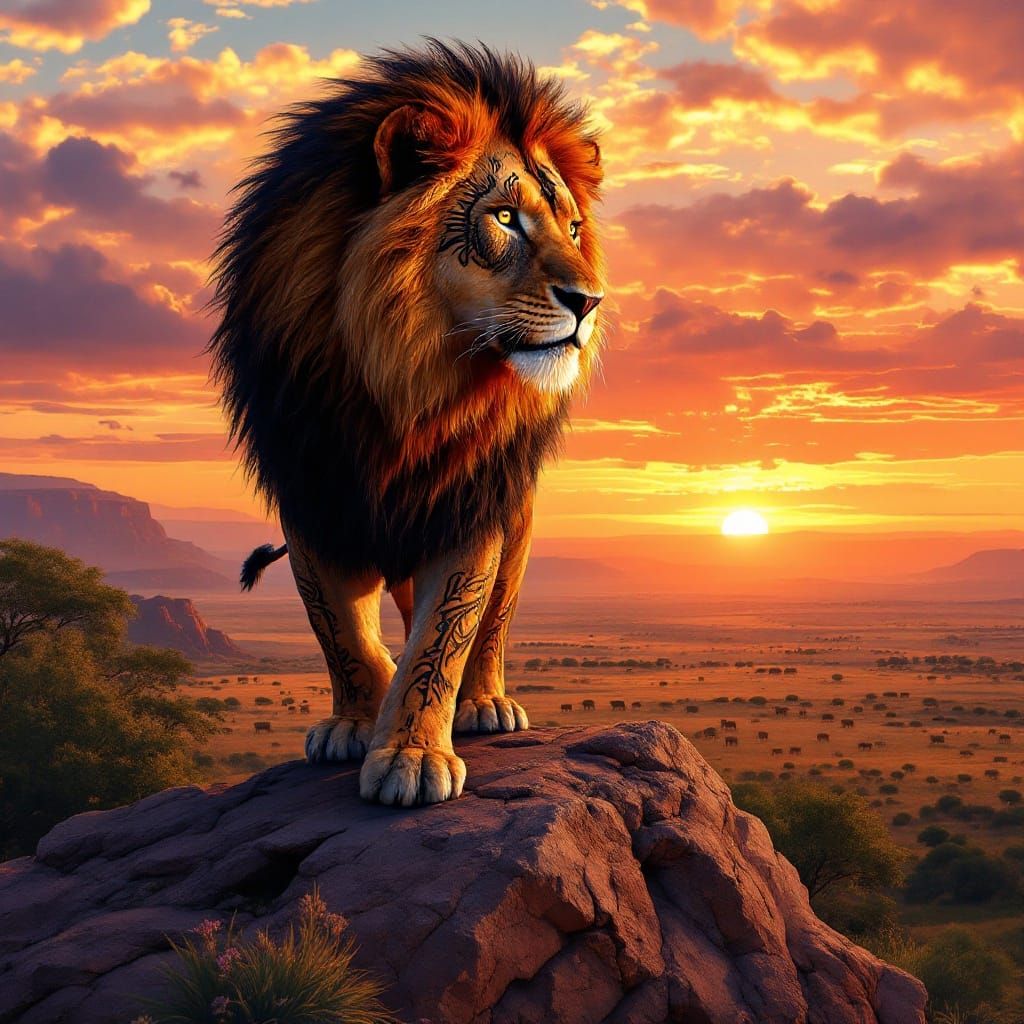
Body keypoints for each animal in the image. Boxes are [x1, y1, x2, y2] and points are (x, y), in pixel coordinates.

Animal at [209, 41, 605, 807]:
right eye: (505, 218)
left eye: (574, 228)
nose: (590, 300)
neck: (405, 383)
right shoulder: (312, 491)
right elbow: (341, 632)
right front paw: (359, 719)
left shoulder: (466, 501)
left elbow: (445, 636)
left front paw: (414, 752)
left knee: (494, 623)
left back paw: (485, 704)